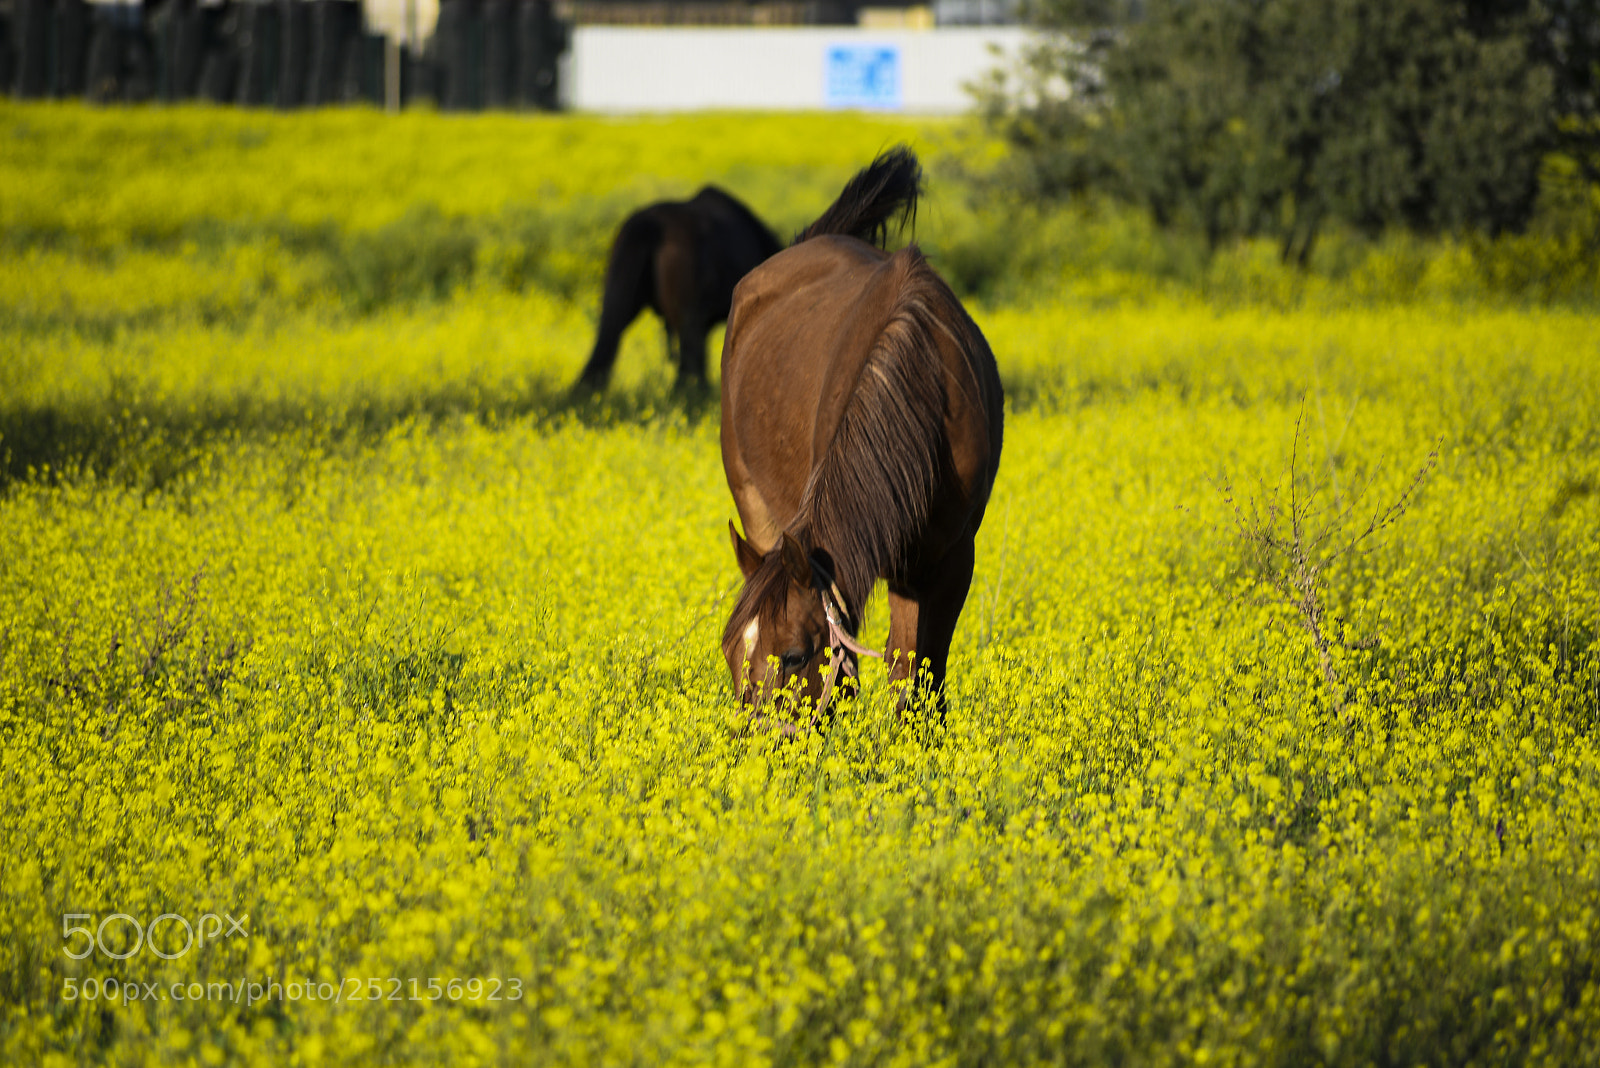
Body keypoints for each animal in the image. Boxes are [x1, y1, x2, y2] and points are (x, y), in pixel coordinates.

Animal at [719, 147, 1004, 726]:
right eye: (733, 655)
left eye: (792, 655)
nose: (752, 743)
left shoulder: (946, 559)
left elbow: (918, 669)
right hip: (753, 503)